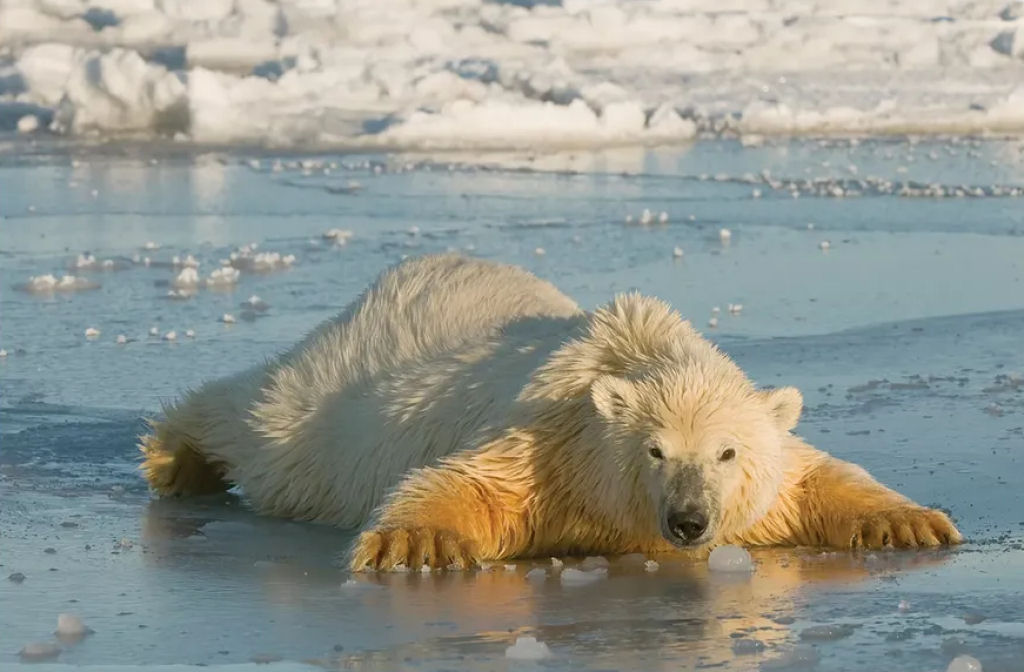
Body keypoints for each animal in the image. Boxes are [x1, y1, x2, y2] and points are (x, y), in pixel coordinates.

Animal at [140, 255, 962, 569]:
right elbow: (472, 485)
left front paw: (911, 524)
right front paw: (417, 546)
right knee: (266, 420)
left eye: (727, 452)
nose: (689, 521)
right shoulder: (551, 447)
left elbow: (813, 479)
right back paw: (175, 456)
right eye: (655, 450)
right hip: (344, 386)